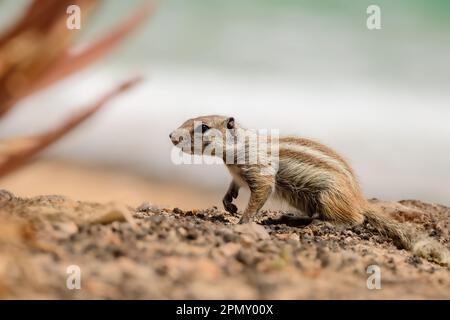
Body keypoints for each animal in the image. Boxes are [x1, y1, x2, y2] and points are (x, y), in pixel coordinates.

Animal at [171, 115, 448, 264]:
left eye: (204, 127)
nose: (172, 136)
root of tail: (359, 198)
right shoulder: (238, 176)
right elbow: (233, 187)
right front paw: (228, 202)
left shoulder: (260, 172)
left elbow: (260, 194)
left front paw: (243, 221)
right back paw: (289, 218)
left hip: (328, 197)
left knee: (355, 219)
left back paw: (326, 224)